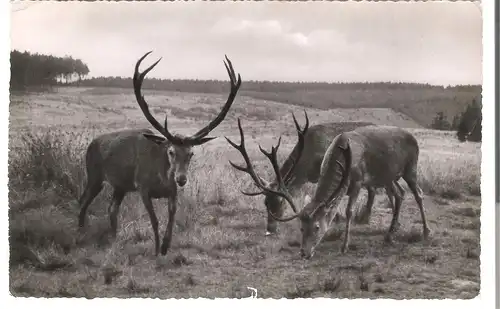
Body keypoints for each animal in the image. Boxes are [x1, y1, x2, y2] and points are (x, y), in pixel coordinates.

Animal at [78, 51, 242, 255]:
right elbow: (155, 220)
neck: (161, 178)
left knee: (111, 208)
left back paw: (114, 239)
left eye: (191, 154)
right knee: (83, 201)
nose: (181, 178)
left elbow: (172, 216)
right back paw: (80, 232)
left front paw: (165, 246)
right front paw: (156, 250)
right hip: (94, 175)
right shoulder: (142, 186)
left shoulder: (172, 192)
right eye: (171, 151)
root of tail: (91, 145)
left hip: (120, 185)